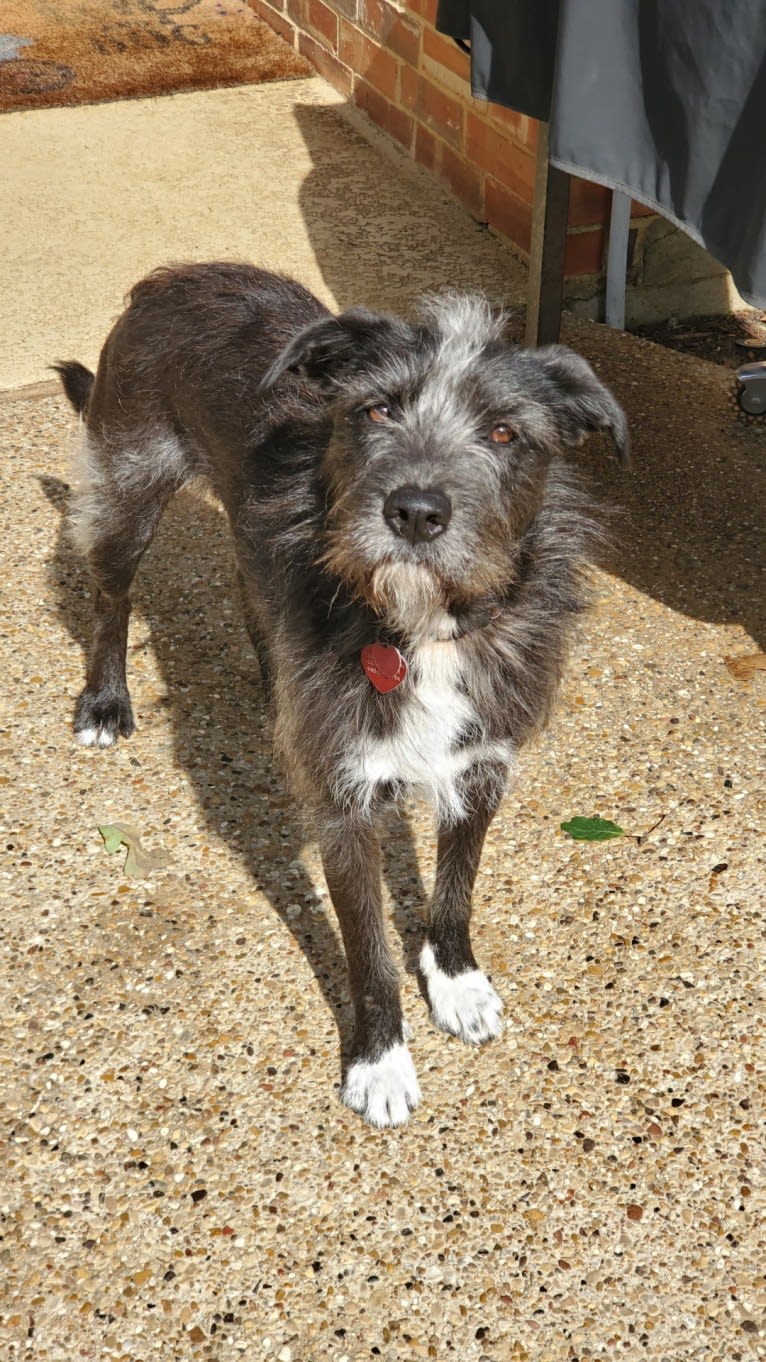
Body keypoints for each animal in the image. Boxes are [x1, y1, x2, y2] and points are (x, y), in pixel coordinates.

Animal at [55, 262, 626, 1127]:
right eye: (376, 409)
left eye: (504, 434)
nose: (415, 512)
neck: (423, 626)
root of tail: (176, 276)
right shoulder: (345, 806)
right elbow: (367, 949)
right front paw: (380, 1062)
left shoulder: (481, 763)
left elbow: (456, 885)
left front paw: (457, 981)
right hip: (127, 488)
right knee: (110, 592)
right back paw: (105, 701)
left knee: (248, 586)